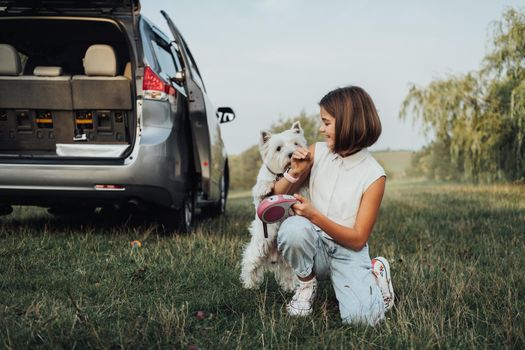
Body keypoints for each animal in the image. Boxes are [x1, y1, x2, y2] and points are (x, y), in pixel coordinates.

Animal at [238, 121, 308, 292]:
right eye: (278, 148)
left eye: (296, 143)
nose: (291, 154)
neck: (281, 175)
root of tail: (274, 255)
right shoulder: (259, 199)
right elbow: (262, 188)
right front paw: (266, 187)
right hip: (259, 248)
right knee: (249, 262)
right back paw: (250, 284)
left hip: (288, 259)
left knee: (288, 272)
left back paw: (290, 287)